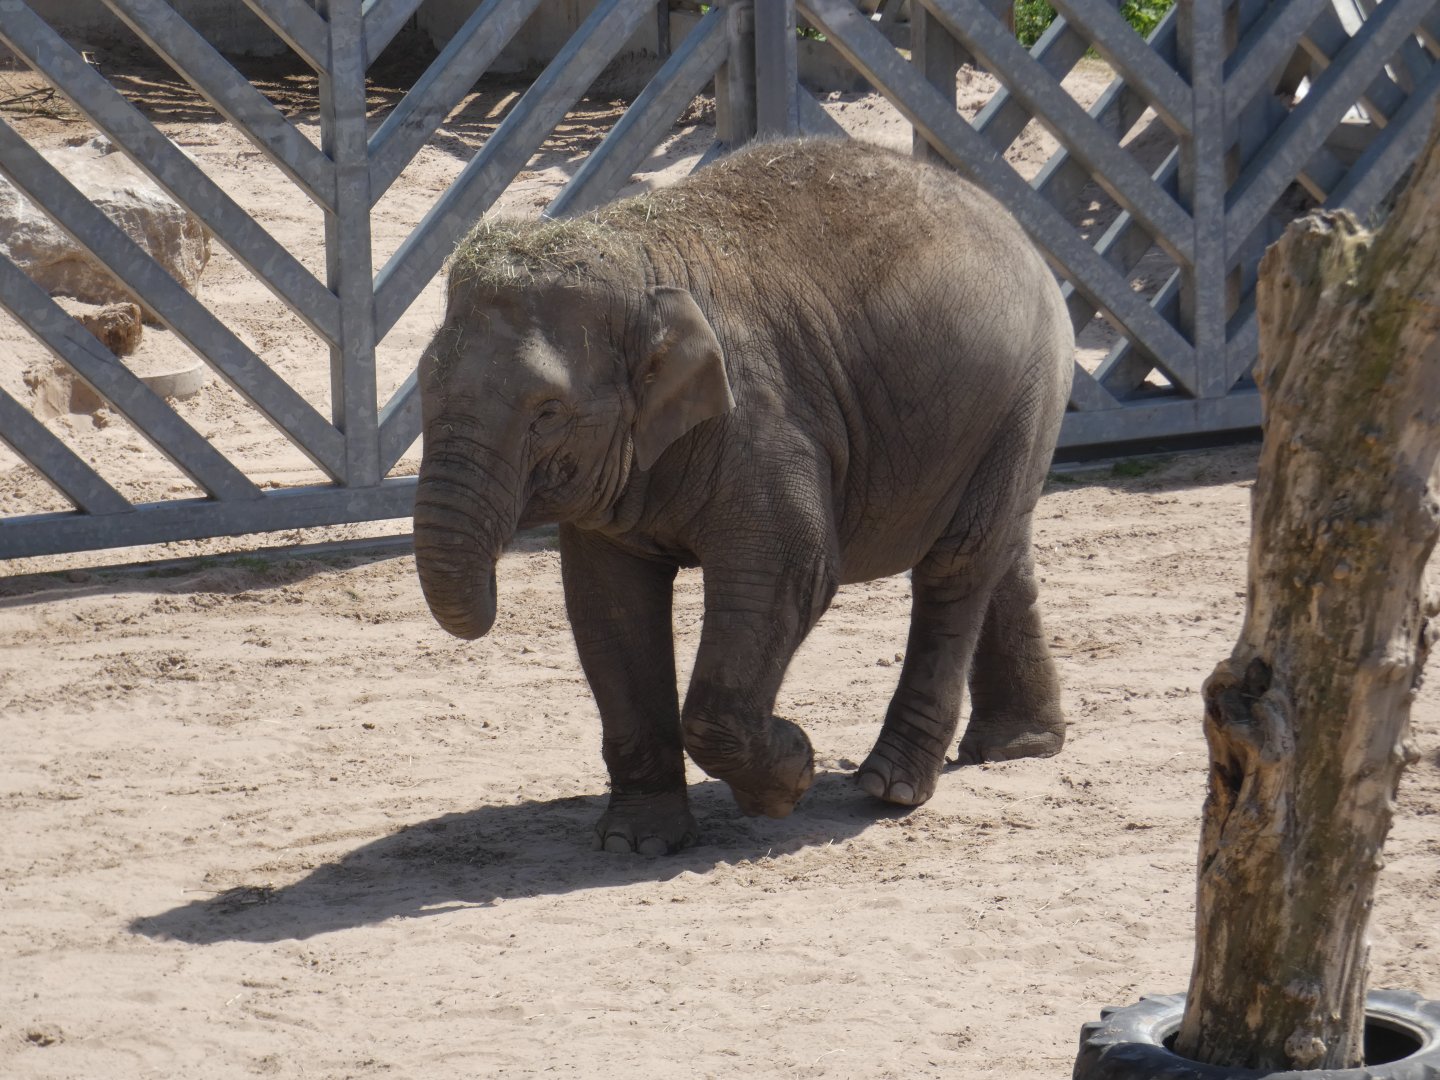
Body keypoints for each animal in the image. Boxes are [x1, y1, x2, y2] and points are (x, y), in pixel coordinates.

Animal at [413, 137, 1074, 855]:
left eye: (548, 412)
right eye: (422, 384)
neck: (637, 257)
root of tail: (1012, 222)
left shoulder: (762, 419)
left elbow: (791, 569)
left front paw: (791, 779)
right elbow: (608, 605)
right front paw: (639, 843)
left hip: (1023, 389)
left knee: (957, 565)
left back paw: (889, 787)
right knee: (1002, 551)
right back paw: (1017, 747)